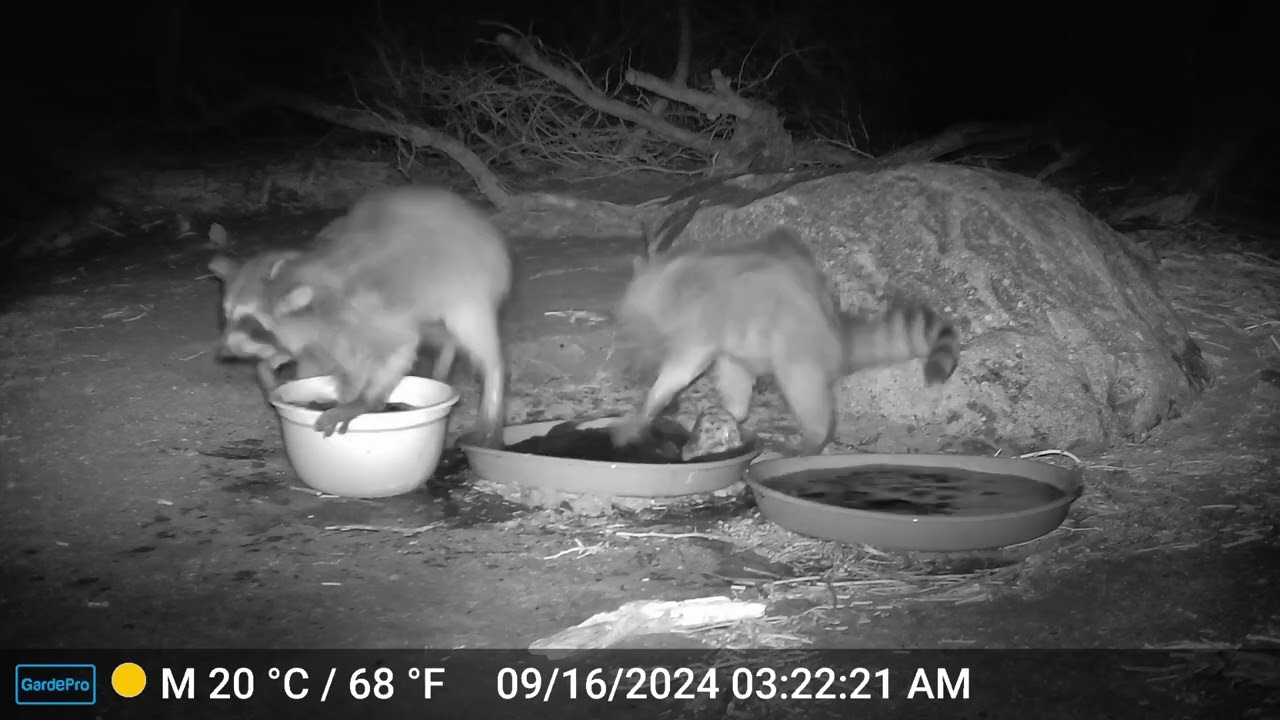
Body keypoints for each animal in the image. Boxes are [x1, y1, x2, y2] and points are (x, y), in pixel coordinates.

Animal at [209, 186, 512, 448]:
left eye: (250, 322)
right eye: (227, 316)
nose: (223, 352)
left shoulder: (365, 313)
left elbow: (399, 347)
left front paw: (363, 401)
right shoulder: (319, 336)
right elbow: (319, 361)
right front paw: (269, 371)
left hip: (466, 286)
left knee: (474, 337)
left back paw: (492, 389)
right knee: (440, 334)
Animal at [611, 226, 959, 454]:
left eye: (629, 327)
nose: (630, 365)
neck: (666, 282)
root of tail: (837, 334)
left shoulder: (698, 325)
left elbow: (682, 369)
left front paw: (649, 406)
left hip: (795, 346)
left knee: (804, 391)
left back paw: (812, 438)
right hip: (747, 346)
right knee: (733, 373)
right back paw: (731, 412)